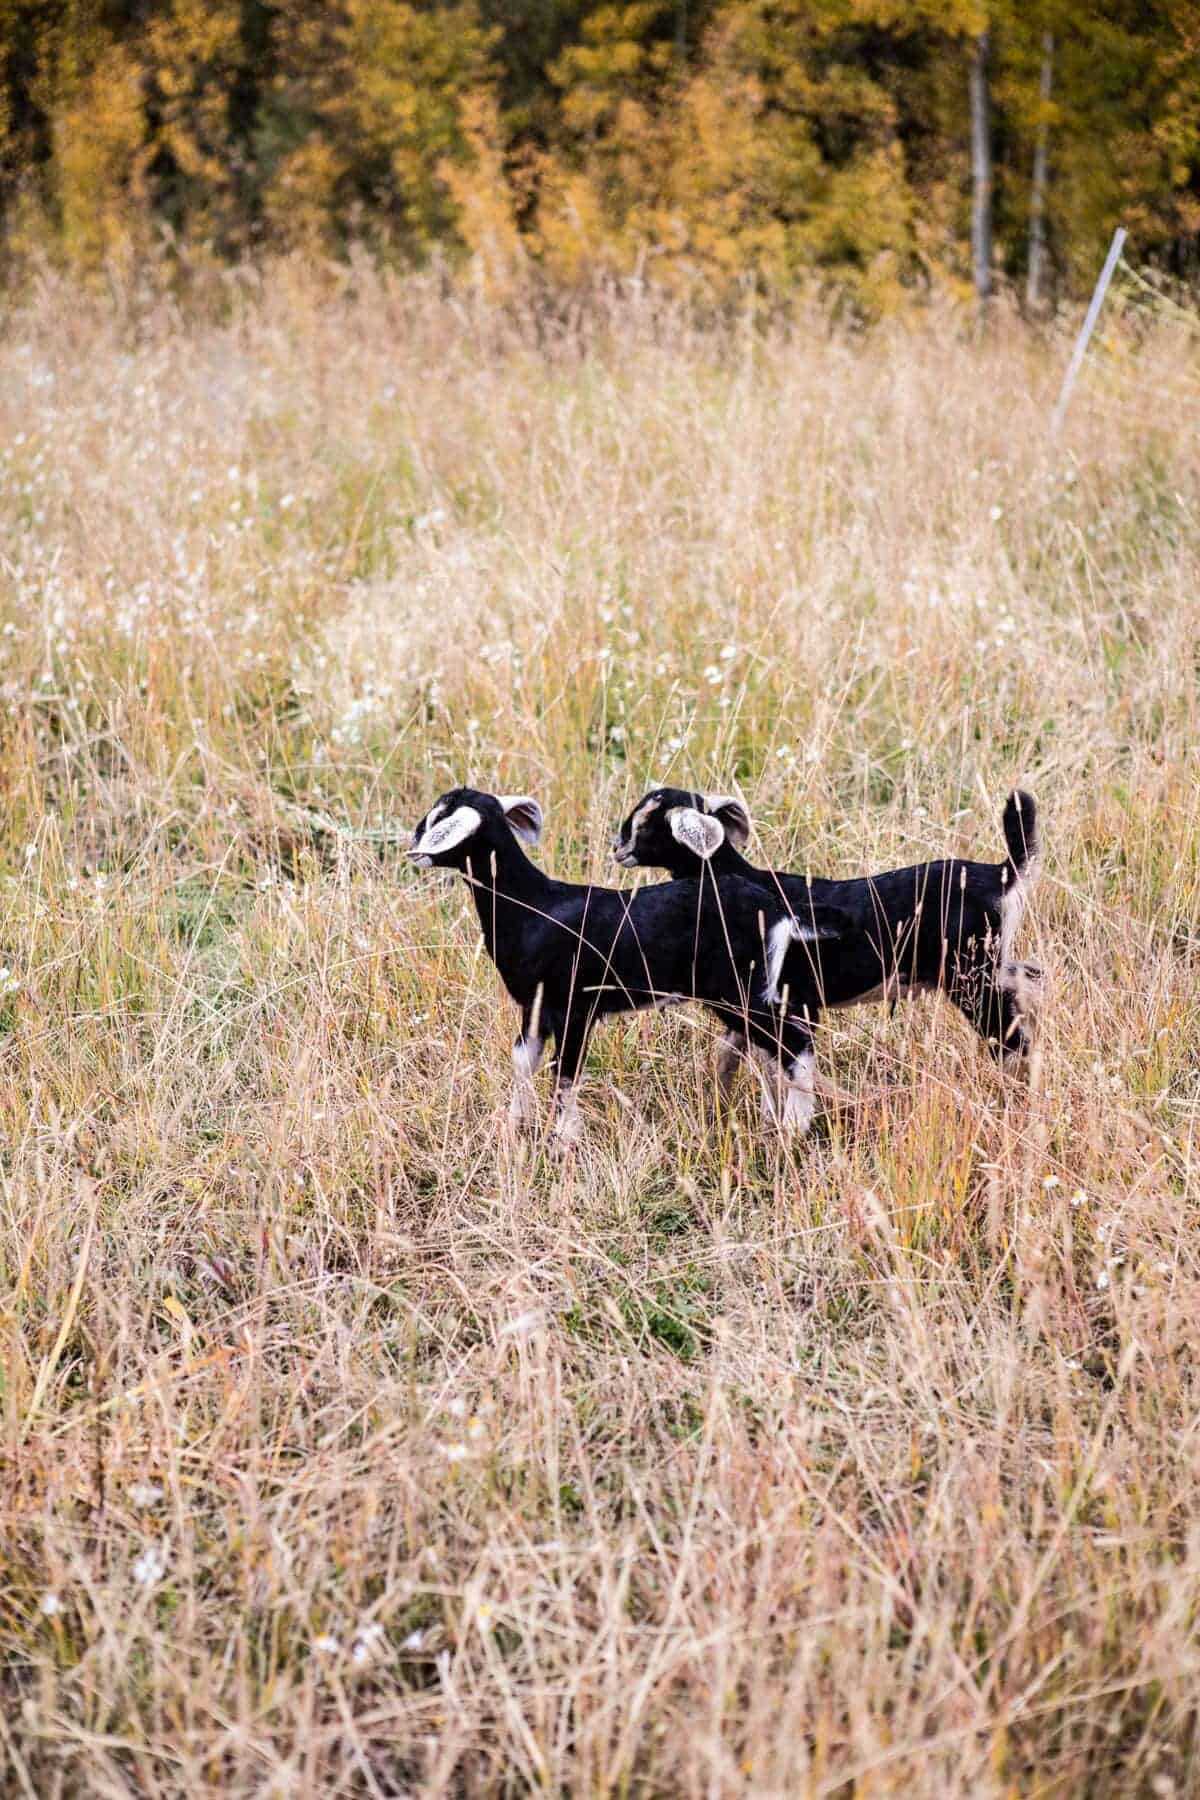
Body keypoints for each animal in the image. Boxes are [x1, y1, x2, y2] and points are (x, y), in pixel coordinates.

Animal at [409, 787, 852, 1141]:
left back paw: (795, 1125)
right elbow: (523, 1063)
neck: (530, 905)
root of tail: (777, 908)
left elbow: (565, 1073)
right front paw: (515, 1126)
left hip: (740, 992)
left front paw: (565, 1138)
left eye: (437, 819)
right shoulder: (534, 1009)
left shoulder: (574, 1007)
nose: (413, 846)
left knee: (796, 1044)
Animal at [613, 787, 1042, 1091]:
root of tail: (1000, 872)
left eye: (648, 823)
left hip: (970, 979)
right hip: (988, 965)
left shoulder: (789, 999)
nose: (617, 848)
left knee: (1011, 1041)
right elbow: (729, 1054)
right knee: (1028, 984)